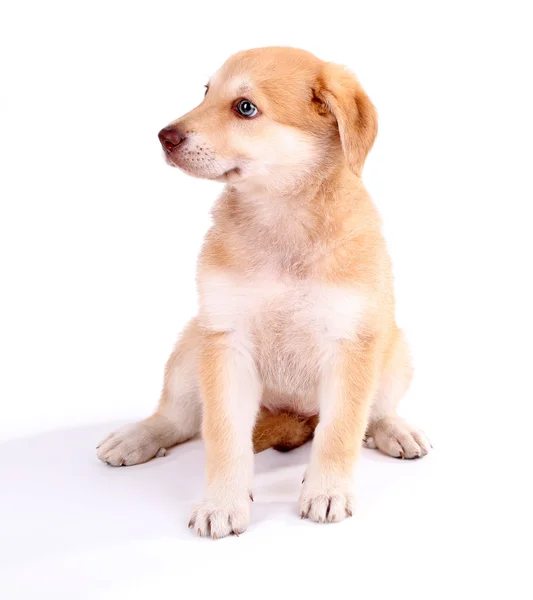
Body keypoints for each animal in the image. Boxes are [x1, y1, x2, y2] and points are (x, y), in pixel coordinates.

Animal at [97, 47, 430, 540]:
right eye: (206, 92)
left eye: (245, 107)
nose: (164, 137)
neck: (282, 217)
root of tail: (293, 419)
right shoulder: (226, 341)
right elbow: (223, 436)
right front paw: (222, 502)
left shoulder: (351, 344)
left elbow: (340, 432)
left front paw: (327, 491)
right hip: (192, 344)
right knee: (179, 417)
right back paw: (138, 436)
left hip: (395, 349)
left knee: (373, 412)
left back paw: (395, 430)